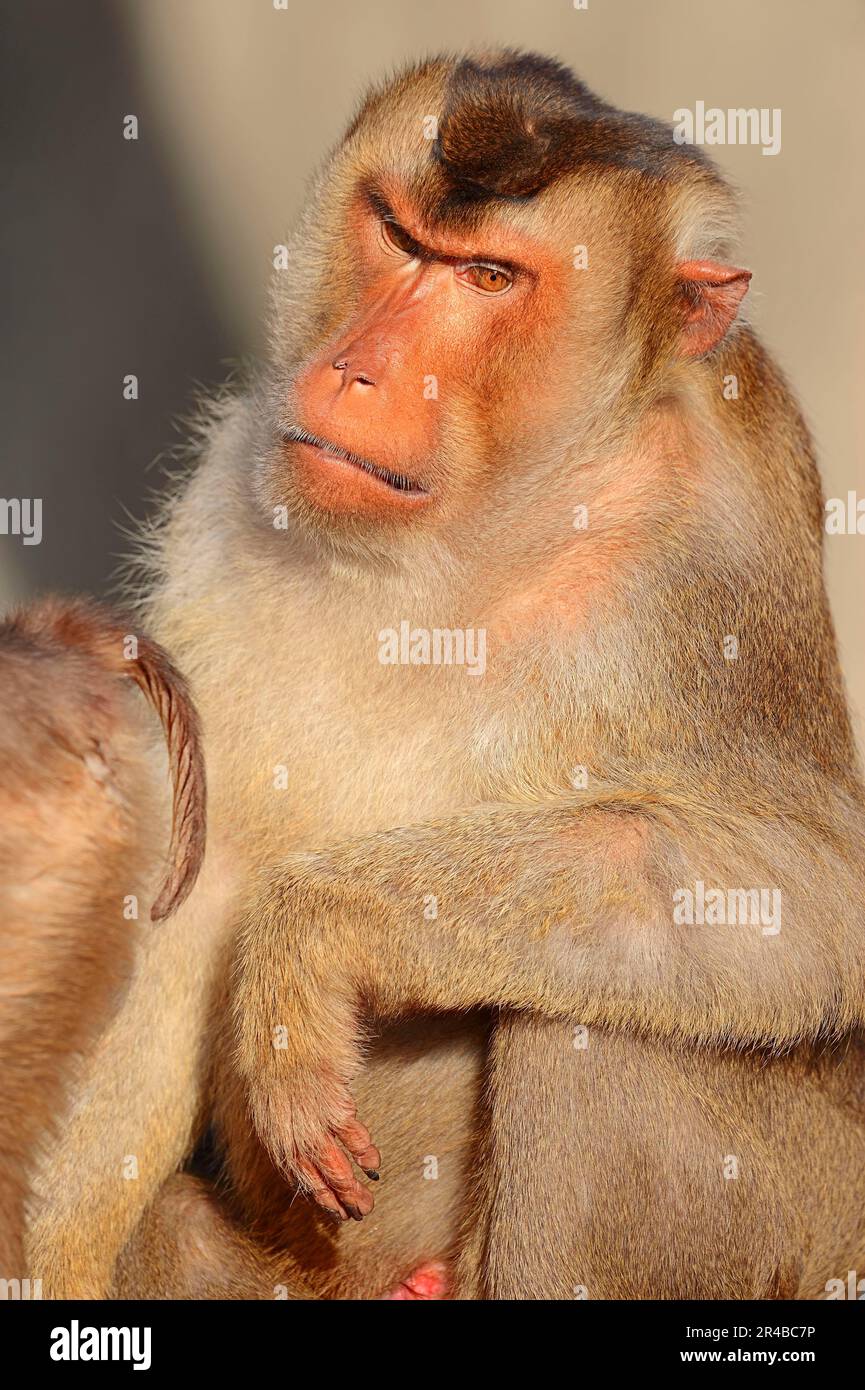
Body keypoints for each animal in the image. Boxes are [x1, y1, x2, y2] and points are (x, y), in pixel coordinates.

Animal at [30, 51, 865, 1289]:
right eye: (395, 234)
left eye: (487, 276)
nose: (358, 373)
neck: (480, 533)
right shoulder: (236, 492)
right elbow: (192, 875)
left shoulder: (721, 540)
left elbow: (808, 894)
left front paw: (318, 928)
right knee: (178, 1228)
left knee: (597, 1023)